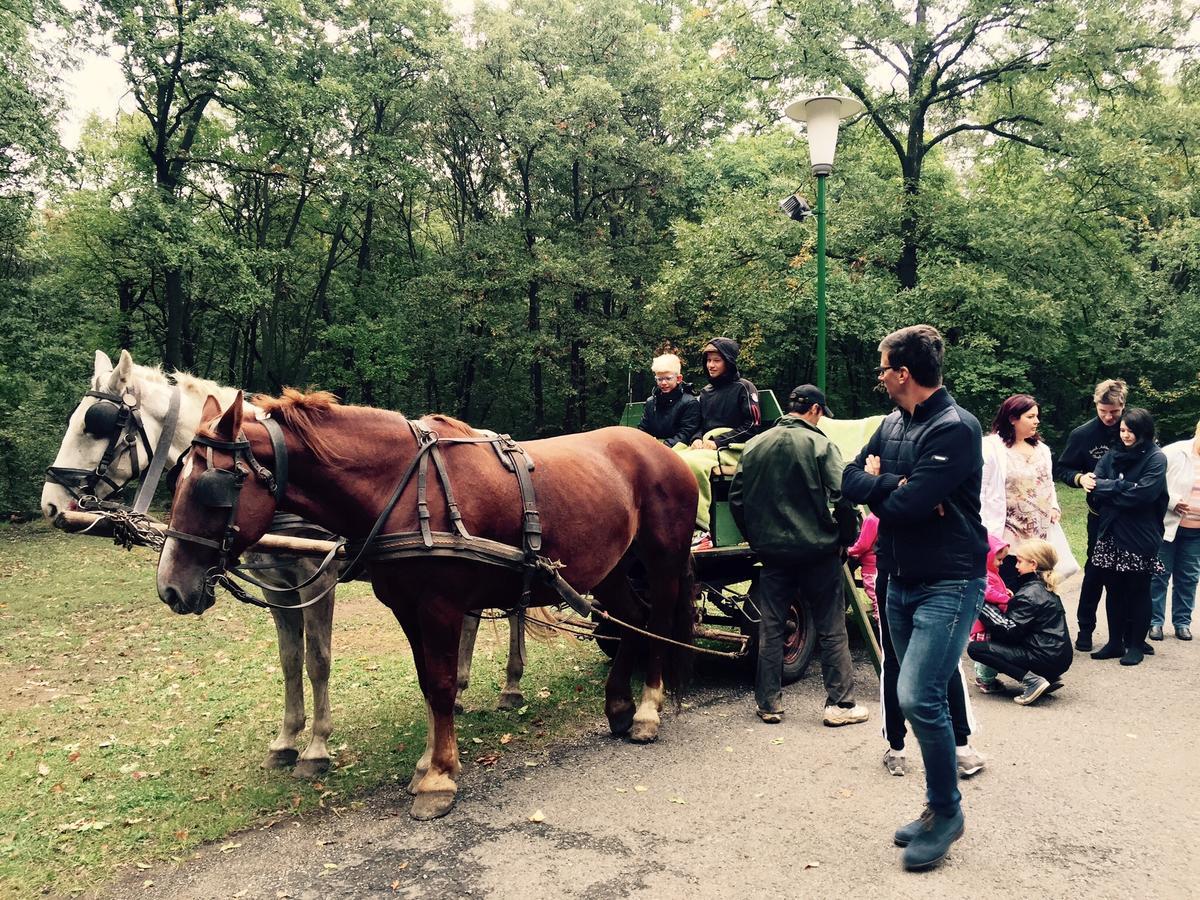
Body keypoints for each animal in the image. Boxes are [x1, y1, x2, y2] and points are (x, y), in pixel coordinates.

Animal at [42, 352, 537, 777]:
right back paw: (463, 688)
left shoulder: (316, 580)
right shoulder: (277, 586)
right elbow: (289, 659)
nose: (50, 504)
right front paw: (285, 741)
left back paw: (510, 685)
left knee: (514, 611)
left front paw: (317, 748)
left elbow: (318, 659)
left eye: (94, 424)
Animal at [160, 391, 700, 820]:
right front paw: (428, 763)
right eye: (177, 480)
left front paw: (439, 778)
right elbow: (426, 682)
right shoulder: (407, 607)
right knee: (630, 621)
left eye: (211, 489)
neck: (403, 488)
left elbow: (440, 685)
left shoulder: (439, 605)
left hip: (663, 560)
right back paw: (619, 705)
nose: (170, 588)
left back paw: (647, 710)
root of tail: (662, 453)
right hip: (611, 567)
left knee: (657, 623)